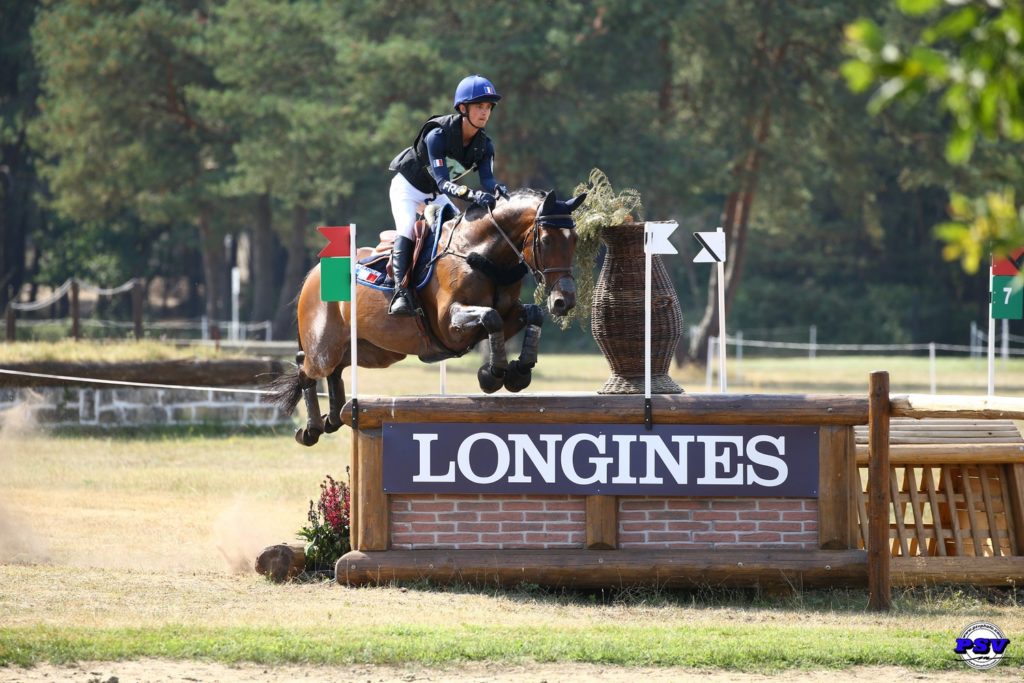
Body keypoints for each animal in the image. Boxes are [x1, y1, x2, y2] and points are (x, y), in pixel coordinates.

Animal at [266, 187, 585, 446]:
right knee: (306, 368)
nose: (564, 301)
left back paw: (332, 418)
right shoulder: (450, 325)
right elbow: (491, 317)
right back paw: (311, 429)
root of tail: (314, 272)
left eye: (576, 240)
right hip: (325, 346)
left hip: (376, 352)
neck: (482, 253)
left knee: (335, 370)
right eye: (546, 241)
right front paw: (492, 375)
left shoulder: (508, 312)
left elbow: (531, 314)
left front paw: (519, 371)